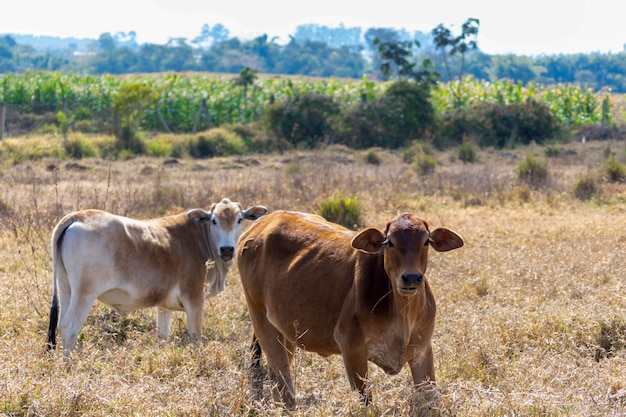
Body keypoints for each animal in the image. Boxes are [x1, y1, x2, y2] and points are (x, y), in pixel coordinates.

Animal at [45, 197, 266, 352]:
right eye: (213, 221)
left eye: (239, 219)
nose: (227, 249)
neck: (200, 239)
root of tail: (78, 215)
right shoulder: (194, 298)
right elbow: (195, 337)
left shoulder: (164, 306)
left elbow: (162, 336)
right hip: (85, 293)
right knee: (69, 328)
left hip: (66, 290)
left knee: (60, 325)